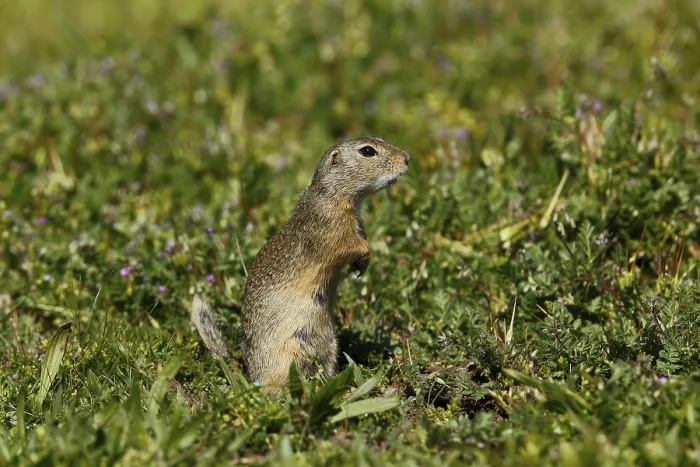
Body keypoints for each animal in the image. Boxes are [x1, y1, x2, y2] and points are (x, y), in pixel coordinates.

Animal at [192, 136, 409, 393]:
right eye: (367, 151)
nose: (406, 158)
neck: (335, 196)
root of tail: (251, 380)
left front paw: (362, 265)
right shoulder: (331, 228)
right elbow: (350, 245)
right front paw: (365, 254)